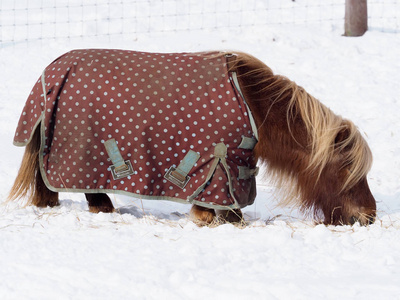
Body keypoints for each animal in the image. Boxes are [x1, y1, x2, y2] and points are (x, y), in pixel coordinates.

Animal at [7, 50, 376, 226]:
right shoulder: (221, 164)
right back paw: (97, 206)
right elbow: (217, 202)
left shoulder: (232, 165)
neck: (252, 104)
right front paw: (208, 218)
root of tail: (53, 69)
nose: (368, 216)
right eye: (347, 170)